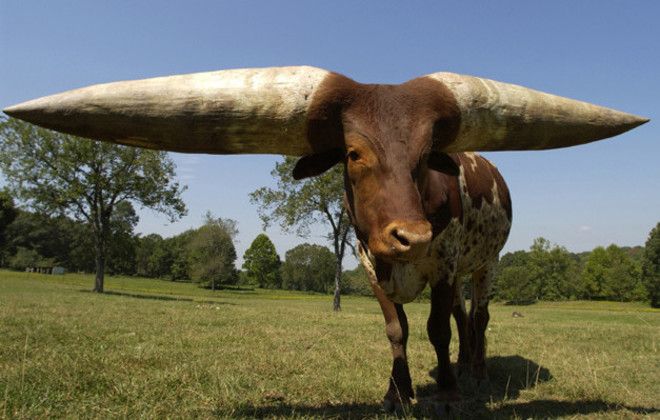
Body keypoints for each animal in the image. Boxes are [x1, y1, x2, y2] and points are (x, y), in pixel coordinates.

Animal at [4, 66, 647, 409]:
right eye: (354, 154)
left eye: (425, 156)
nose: (411, 235)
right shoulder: (368, 262)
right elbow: (398, 331)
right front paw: (398, 395)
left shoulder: (443, 262)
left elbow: (436, 328)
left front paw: (445, 396)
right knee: (466, 319)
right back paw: (461, 370)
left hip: (485, 263)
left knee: (479, 315)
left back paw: (477, 374)